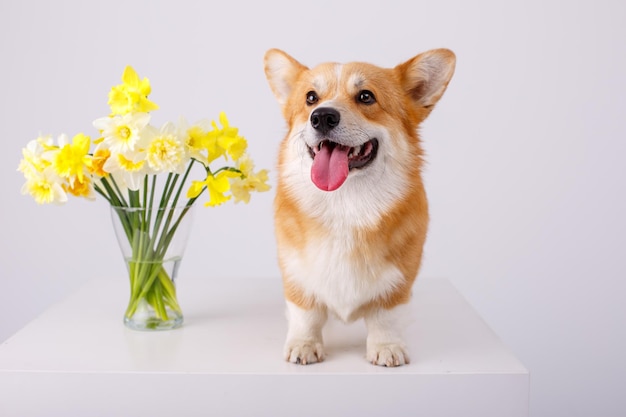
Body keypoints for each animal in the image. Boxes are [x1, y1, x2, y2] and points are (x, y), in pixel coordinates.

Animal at [264, 48, 454, 366]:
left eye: (366, 97)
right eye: (311, 98)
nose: (322, 117)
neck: (345, 203)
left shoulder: (399, 279)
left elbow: (386, 317)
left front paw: (387, 347)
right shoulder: (295, 273)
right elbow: (306, 313)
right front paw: (304, 344)